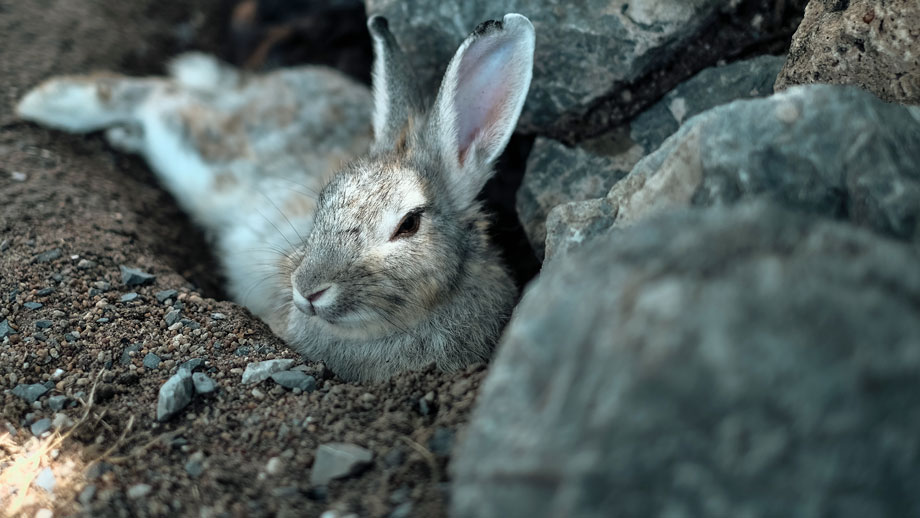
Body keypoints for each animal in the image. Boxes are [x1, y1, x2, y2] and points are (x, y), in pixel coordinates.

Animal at [16, 13, 535, 383]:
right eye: (325, 197)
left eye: (409, 225)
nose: (307, 290)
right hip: (207, 155)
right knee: (159, 97)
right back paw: (48, 103)